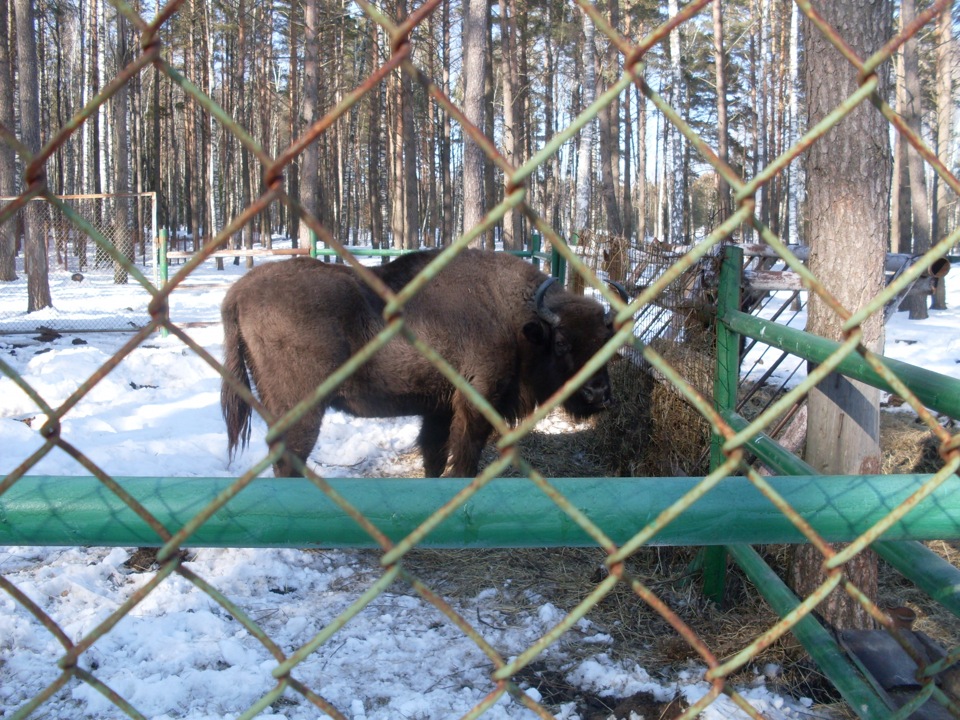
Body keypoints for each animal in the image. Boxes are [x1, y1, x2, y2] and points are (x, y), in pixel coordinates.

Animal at [222, 249, 620, 478]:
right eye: (562, 343)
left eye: (607, 343)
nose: (599, 393)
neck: (515, 319)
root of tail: (238, 292)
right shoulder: (475, 402)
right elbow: (464, 456)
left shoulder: (439, 408)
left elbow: (434, 454)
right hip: (302, 407)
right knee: (290, 457)